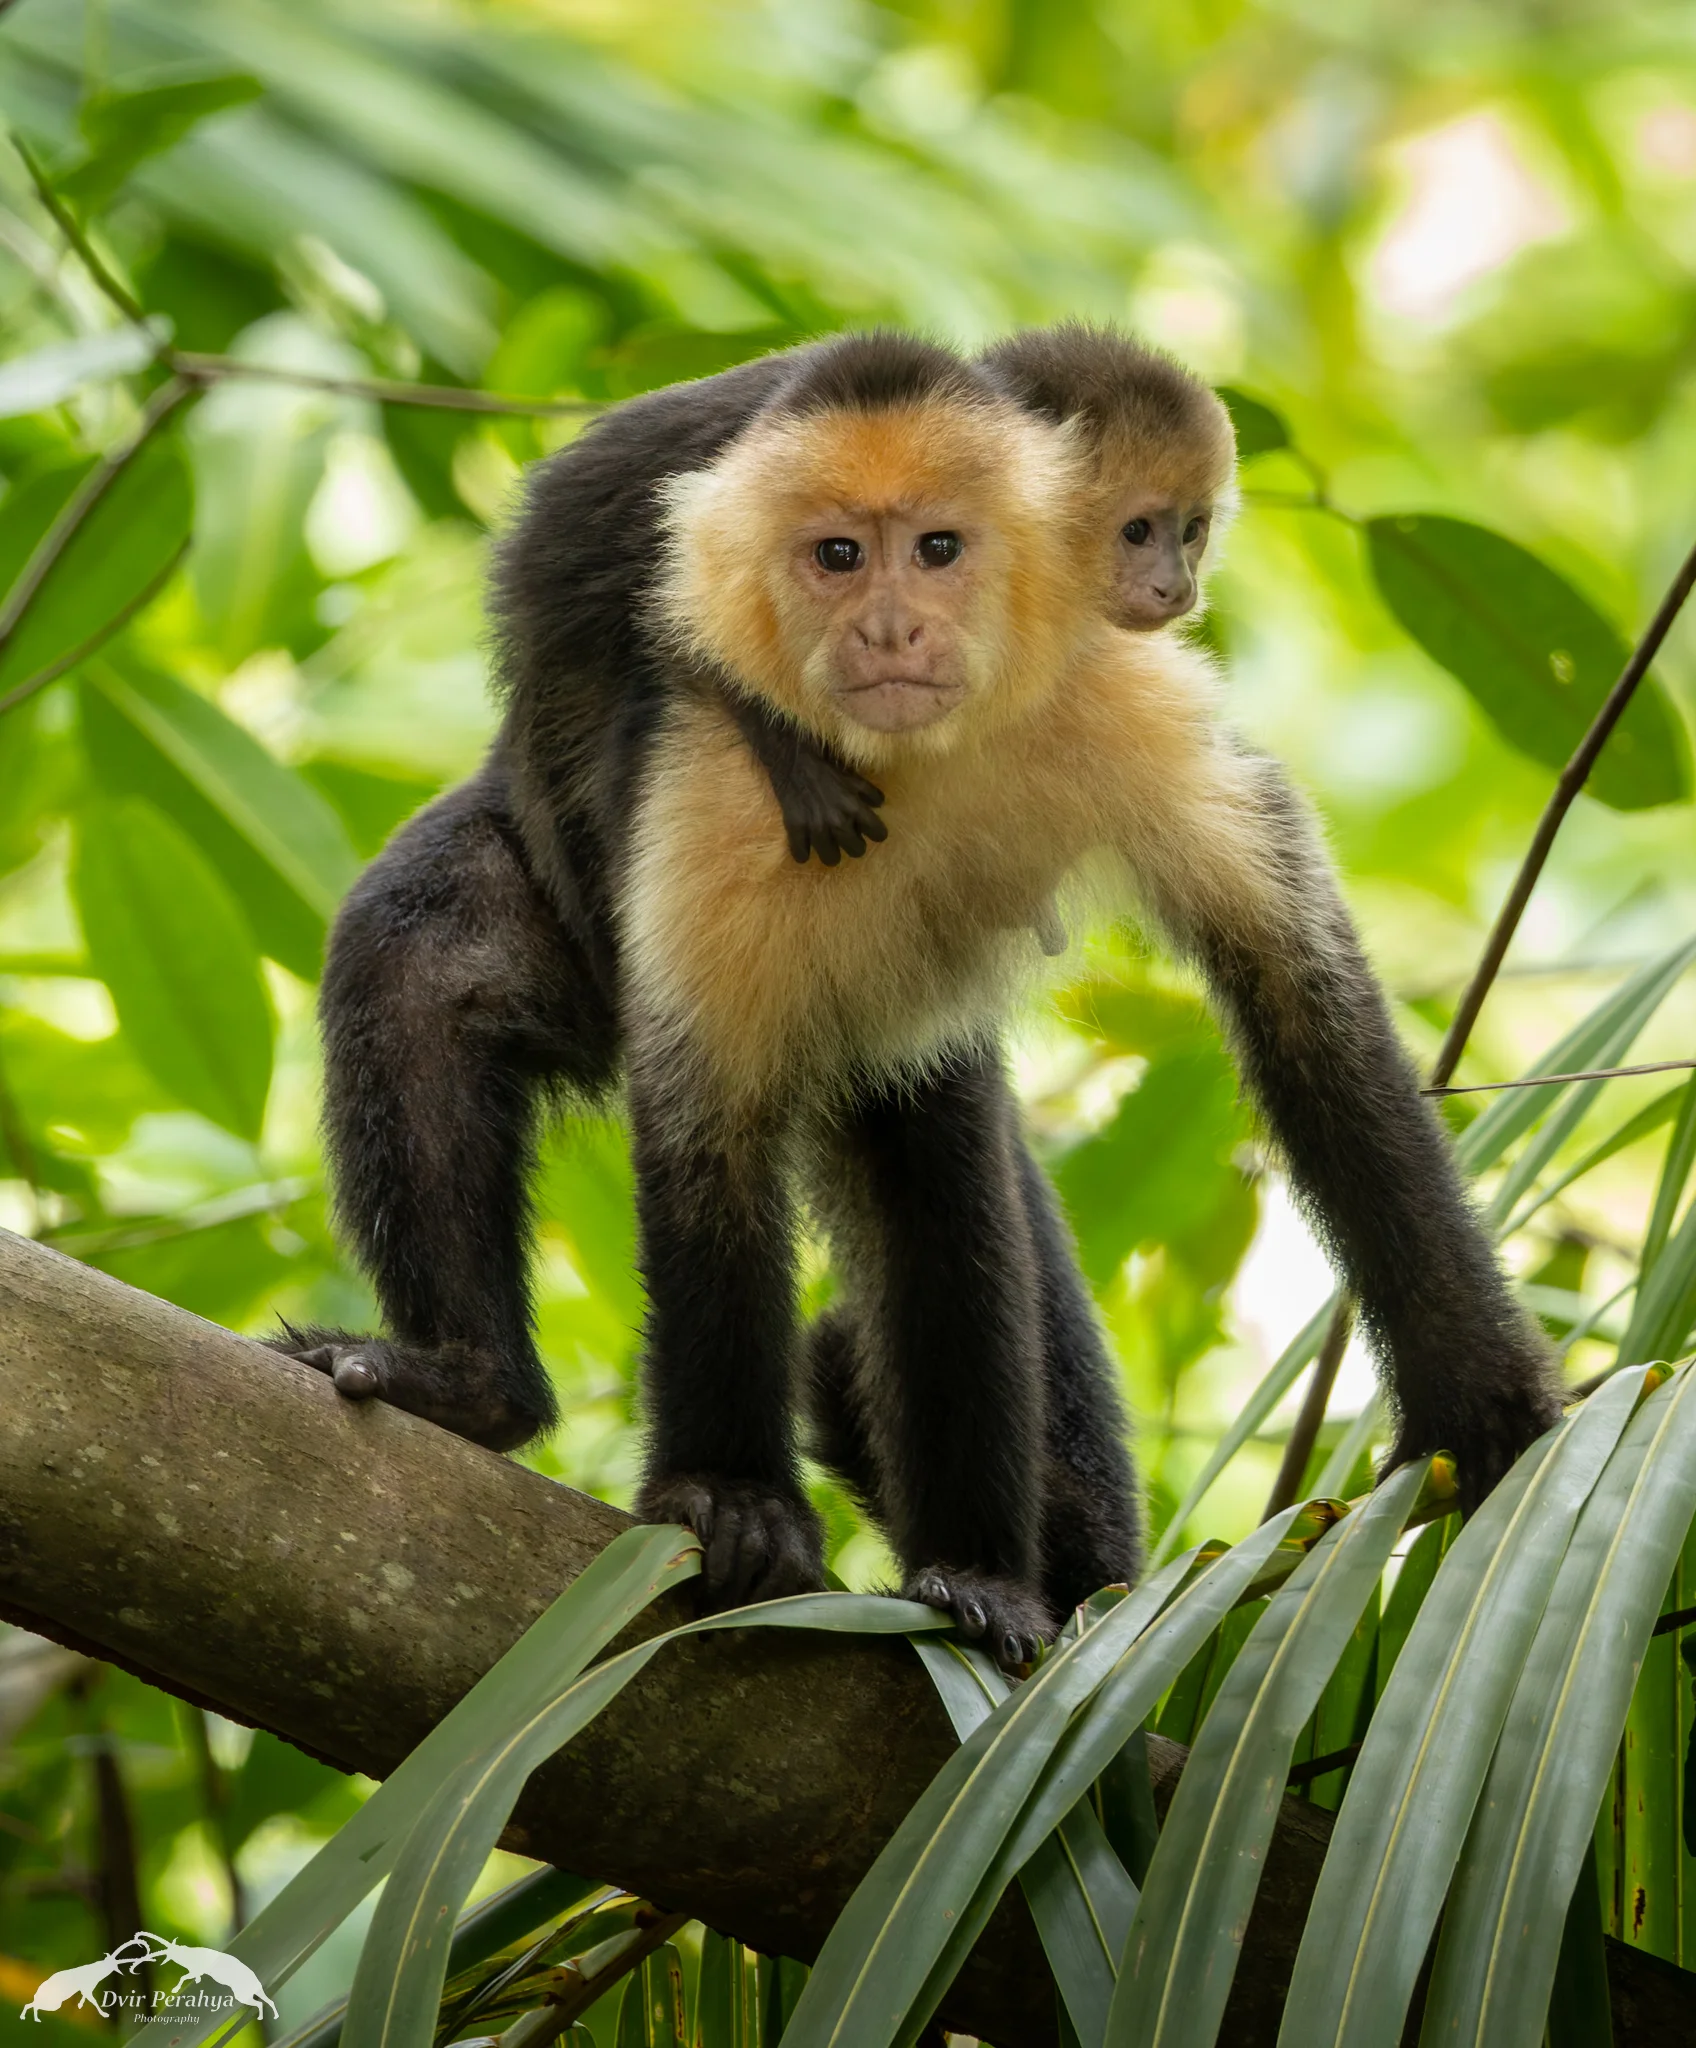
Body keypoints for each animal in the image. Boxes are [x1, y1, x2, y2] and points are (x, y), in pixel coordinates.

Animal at [270, 328, 1560, 1671]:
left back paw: (1001, 1571)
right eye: (837, 557)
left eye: (940, 549)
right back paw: (473, 1381)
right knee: (419, 954)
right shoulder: (708, 773)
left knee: (940, 1155)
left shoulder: (1127, 702)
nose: (891, 628)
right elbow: (707, 1127)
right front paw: (731, 1495)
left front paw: (1483, 1408)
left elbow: (1301, 1005)